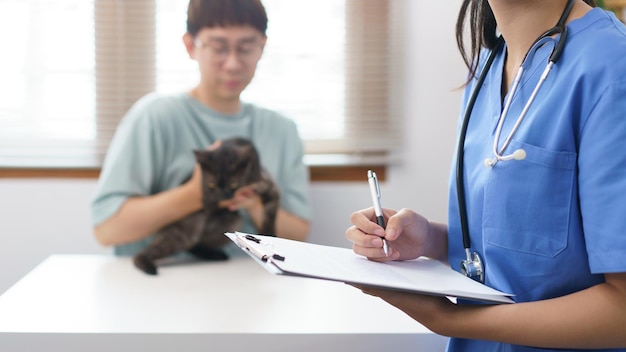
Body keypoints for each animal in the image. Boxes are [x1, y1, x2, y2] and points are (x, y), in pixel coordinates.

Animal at [133, 137, 280, 276]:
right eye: (212, 185)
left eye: (233, 185)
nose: (222, 195)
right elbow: (205, 194)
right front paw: (208, 202)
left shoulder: (268, 185)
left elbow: (270, 215)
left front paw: (270, 235)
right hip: (184, 232)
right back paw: (147, 266)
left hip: (233, 222)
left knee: (194, 245)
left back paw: (215, 255)